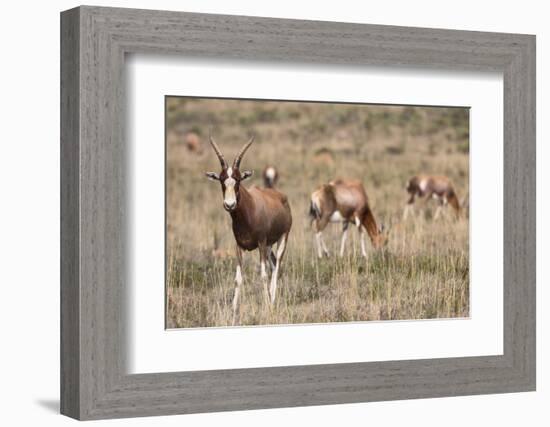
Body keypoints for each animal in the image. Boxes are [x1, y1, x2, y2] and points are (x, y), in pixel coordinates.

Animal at [206, 135, 294, 322]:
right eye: (222, 180)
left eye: (238, 179)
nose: (229, 204)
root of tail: (280, 196)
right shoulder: (239, 246)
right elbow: (237, 279)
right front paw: (233, 313)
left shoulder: (260, 243)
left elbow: (263, 275)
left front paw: (267, 308)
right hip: (268, 245)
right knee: (274, 264)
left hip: (281, 239)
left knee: (277, 266)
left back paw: (272, 302)